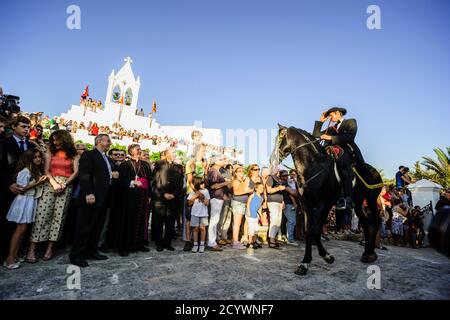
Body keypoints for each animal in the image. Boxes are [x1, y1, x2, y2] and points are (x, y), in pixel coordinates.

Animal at [270, 124, 384, 276]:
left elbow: (315, 231)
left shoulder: (324, 204)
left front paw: (326, 257)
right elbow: (309, 231)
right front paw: (305, 263)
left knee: (375, 220)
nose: (272, 160)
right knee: (365, 223)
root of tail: (374, 171)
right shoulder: (307, 205)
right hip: (359, 203)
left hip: (371, 198)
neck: (313, 166)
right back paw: (367, 253)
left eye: (280, 138)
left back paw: (371, 253)